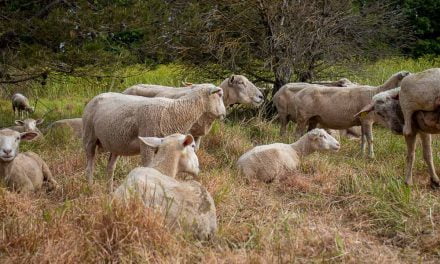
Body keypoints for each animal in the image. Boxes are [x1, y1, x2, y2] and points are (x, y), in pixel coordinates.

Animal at [82, 84, 225, 188]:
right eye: (220, 95)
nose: (224, 114)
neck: (175, 111)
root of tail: (98, 96)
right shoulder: (147, 143)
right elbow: (148, 166)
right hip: (89, 137)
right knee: (89, 166)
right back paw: (90, 188)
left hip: (115, 143)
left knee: (110, 168)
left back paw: (110, 191)